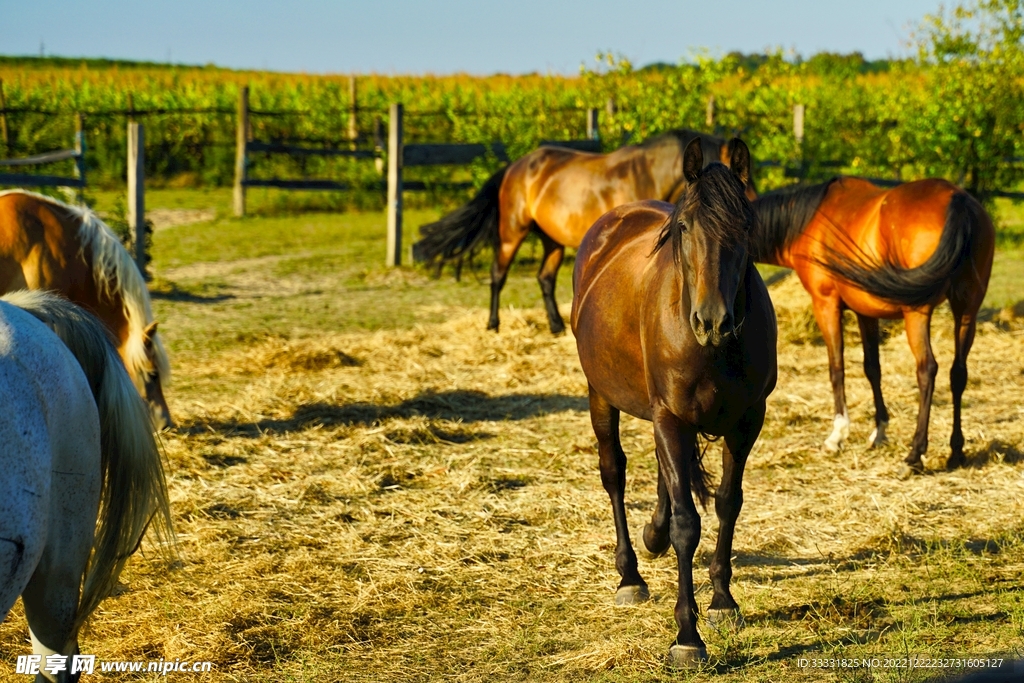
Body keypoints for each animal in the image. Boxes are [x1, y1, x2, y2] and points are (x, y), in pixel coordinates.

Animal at [413, 129, 757, 335]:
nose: (754, 203)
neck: (645, 173)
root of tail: (515, 167)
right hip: (513, 232)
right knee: (498, 274)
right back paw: (493, 324)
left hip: (552, 241)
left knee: (545, 278)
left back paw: (556, 326)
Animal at [571, 138, 777, 666]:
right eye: (685, 228)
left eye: (746, 225)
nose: (712, 321)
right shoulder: (671, 416)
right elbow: (688, 522)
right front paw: (687, 635)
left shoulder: (747, 421)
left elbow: (727, 502)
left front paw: (723, 600)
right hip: (602, 395)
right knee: (614, 473)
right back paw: (629, 575)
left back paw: (652, 536)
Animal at [751, 177, 995, 474]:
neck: (808, 220)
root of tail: (956, 199)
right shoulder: (864, 312)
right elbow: (872, 369)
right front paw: (879, 432)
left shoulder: (826, 304)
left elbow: (837, 368)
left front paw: (837, 435)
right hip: (967, 310)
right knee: (958, 373)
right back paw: (956, 451)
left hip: (917, 312)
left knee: (927, 369)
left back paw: (915, 454)